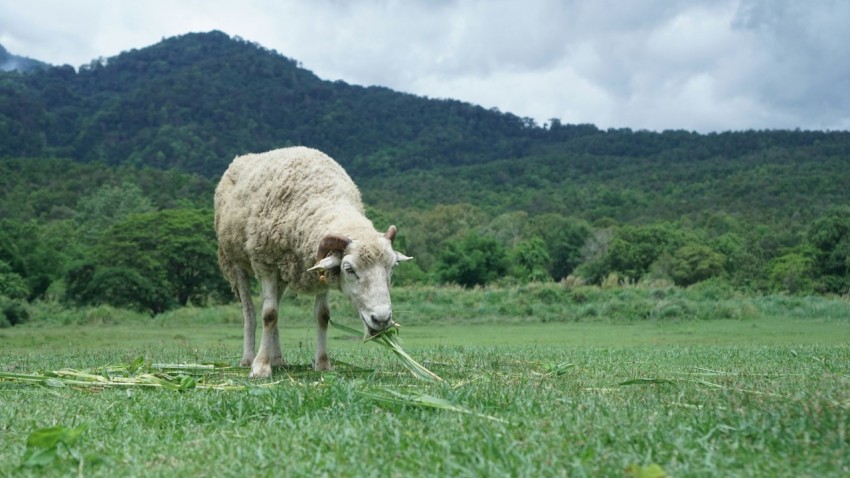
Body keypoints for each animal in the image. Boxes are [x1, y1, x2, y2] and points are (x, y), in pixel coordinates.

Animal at [214, 146, 410, 378]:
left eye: (392, 267)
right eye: (349, 269)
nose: (381, 319)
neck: (322, 194)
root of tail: (241, 158)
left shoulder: (318, 274)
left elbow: (322, 316)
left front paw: (323, 363)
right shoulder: (266, 264)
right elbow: (269, 315)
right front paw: (260, 367)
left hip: (283, 274)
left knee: (274, 305)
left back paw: (277, 358)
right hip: (234, 263)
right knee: (250, 311)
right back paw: (248, 358)